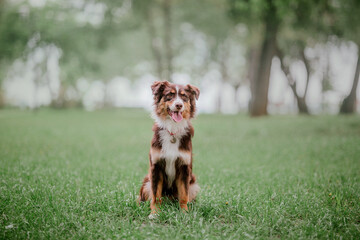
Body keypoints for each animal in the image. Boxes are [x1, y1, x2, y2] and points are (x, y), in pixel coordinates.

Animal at [138, 80, 200, 218]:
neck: (172, 130)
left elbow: (184, 194)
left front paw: (184, 213)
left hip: (193, 184)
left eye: (184, 97)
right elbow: (156, 195)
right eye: (169, 95)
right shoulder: (156, 167)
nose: (179, 105)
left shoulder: (184, 167)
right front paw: (155, 213)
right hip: (147, 182)